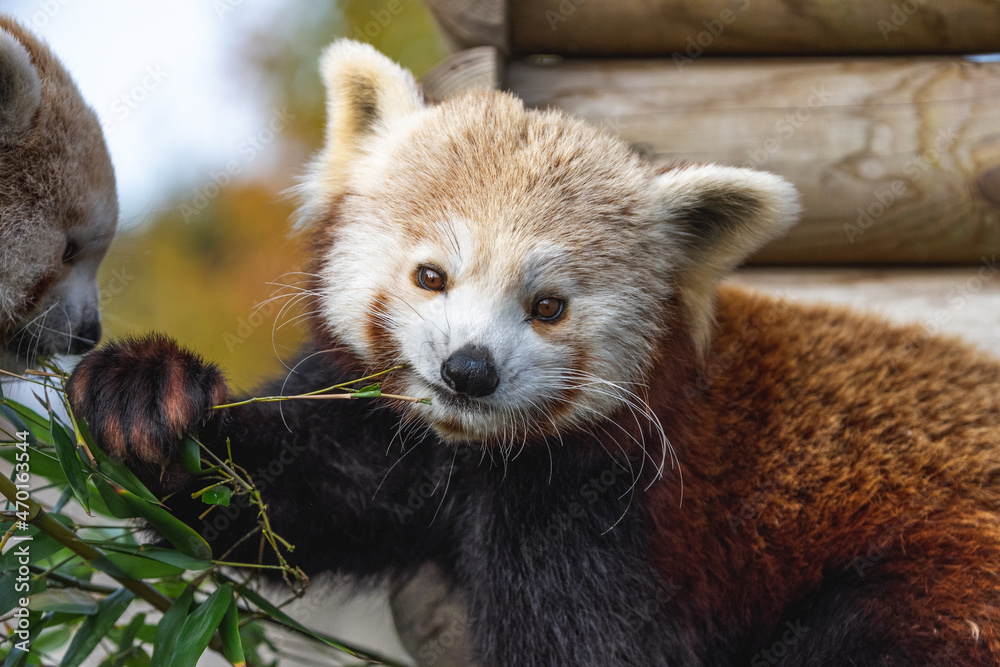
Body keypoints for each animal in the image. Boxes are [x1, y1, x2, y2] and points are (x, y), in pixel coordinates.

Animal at [68, 41, 1000, 666]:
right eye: (431, 275)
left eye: (548, 307)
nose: (469, 369)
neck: (478, 457)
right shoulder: (388, 443)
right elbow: (270, 495)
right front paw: (145, 396)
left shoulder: (615, 508)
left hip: (944, 570)